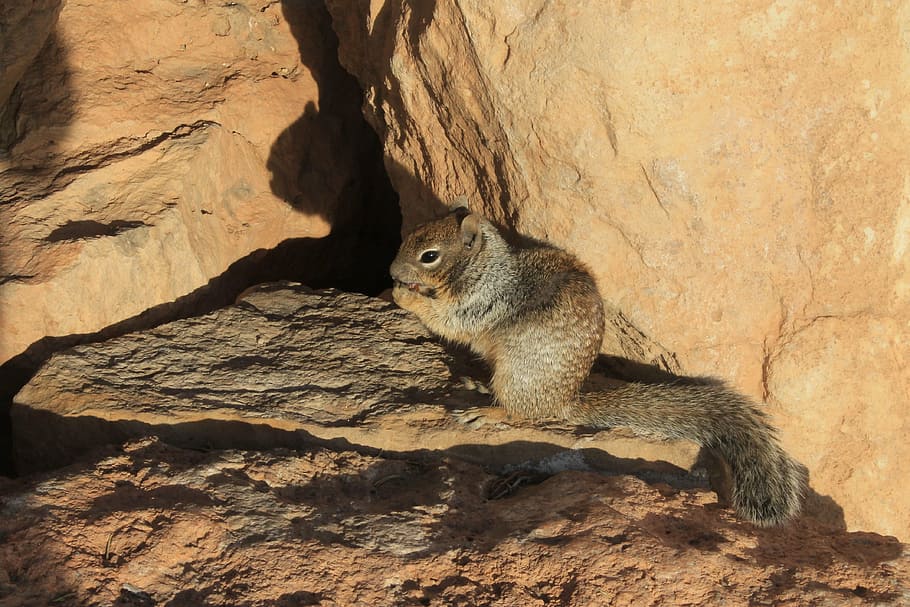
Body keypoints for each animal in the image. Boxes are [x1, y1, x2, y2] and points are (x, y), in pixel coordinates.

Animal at [389, 206, 808, 526]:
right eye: (409, 234)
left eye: (429, 255)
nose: (392, 273)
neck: (484, 266)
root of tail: (566, 400)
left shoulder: (479, 301)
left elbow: (448, 319)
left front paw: (406, 297)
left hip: (516, 374)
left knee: (525, 414)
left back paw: (488, 412)